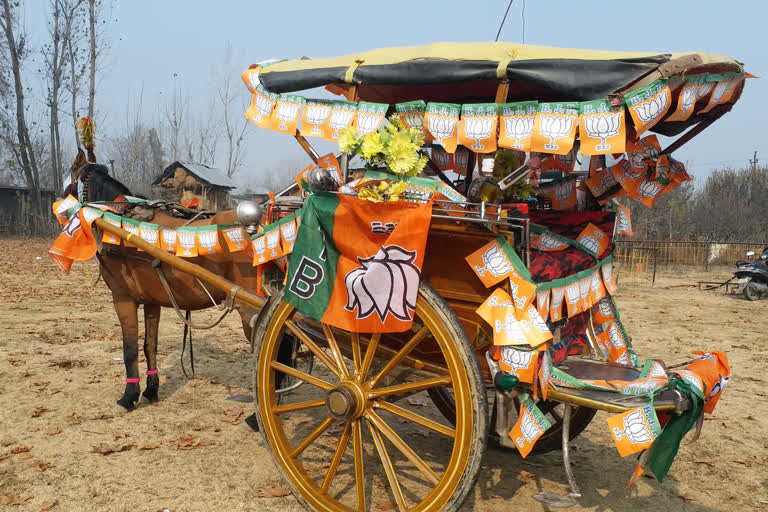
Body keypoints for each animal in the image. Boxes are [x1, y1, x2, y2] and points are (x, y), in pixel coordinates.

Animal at [76, 162, 260, 410]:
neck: (119, 222)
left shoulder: (123, 299)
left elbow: (129, 350)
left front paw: (129, 395)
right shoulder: (152, 301)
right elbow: (149, 345)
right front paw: (151, 389)